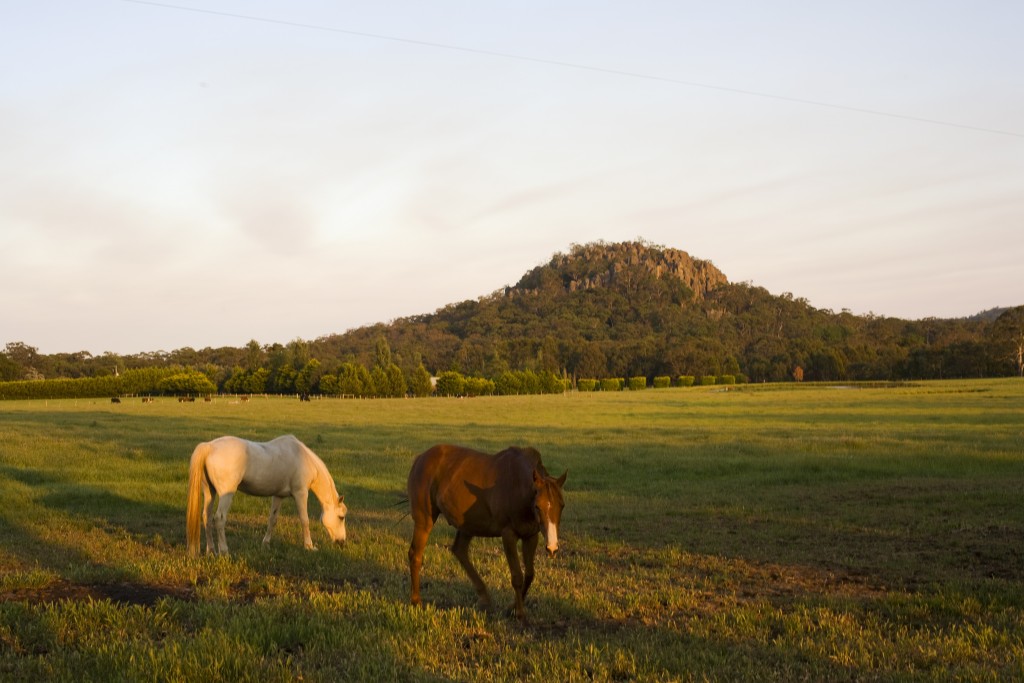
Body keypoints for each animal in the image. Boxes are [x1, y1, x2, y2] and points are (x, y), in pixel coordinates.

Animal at [185, 435, 347, 556]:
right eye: (341, 517)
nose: (342, 542)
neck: (302, 457)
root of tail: (209, 446)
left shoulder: (278, 496)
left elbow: (272, 520)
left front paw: (266, 544)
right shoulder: (301, 493)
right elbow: (304, 520)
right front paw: (309, 546)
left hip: (209, 492)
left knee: (206, 517)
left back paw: (211, 550)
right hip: (226, 494)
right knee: (219, 518)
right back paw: (224, 551)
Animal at [407, 444, 567, 620]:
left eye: (562, 505)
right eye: (538, 506)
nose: (552, 547)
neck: (519, 487)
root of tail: (421, 458)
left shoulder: (531, 536)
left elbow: (530, 574)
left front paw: (512, 607)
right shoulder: (508, 535)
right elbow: (517, 576)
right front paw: (519, 613)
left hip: (468, 525)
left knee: (459, 550)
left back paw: (484, 597)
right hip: (424, 521)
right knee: (415, 555)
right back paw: (416, 601)